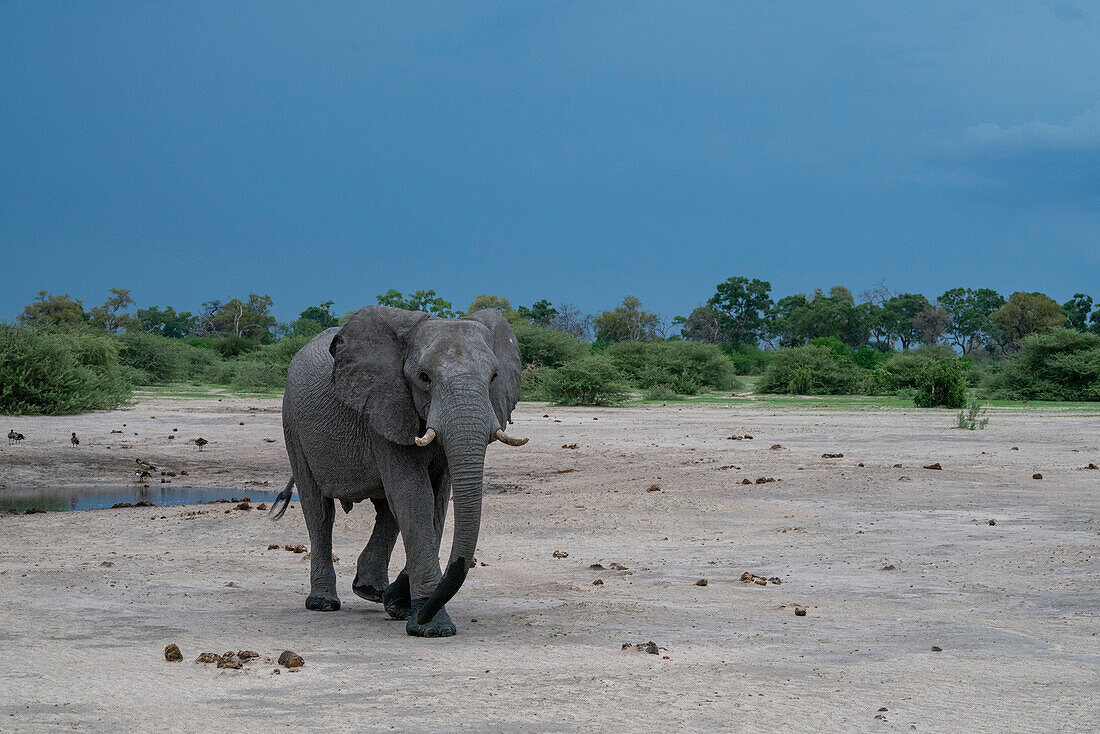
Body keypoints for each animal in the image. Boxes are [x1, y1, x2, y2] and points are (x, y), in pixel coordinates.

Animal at [270, 303, 528, 638]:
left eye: (495, 376)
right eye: (423, 377)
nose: (416, 616)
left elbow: (436, 503)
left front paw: (402, 607)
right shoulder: (383, 403)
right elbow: (415, 498)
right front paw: (432, 627)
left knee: (387, 511)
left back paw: (371, 593)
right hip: (292, 422)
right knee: (319, 510)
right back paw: (323, 603)